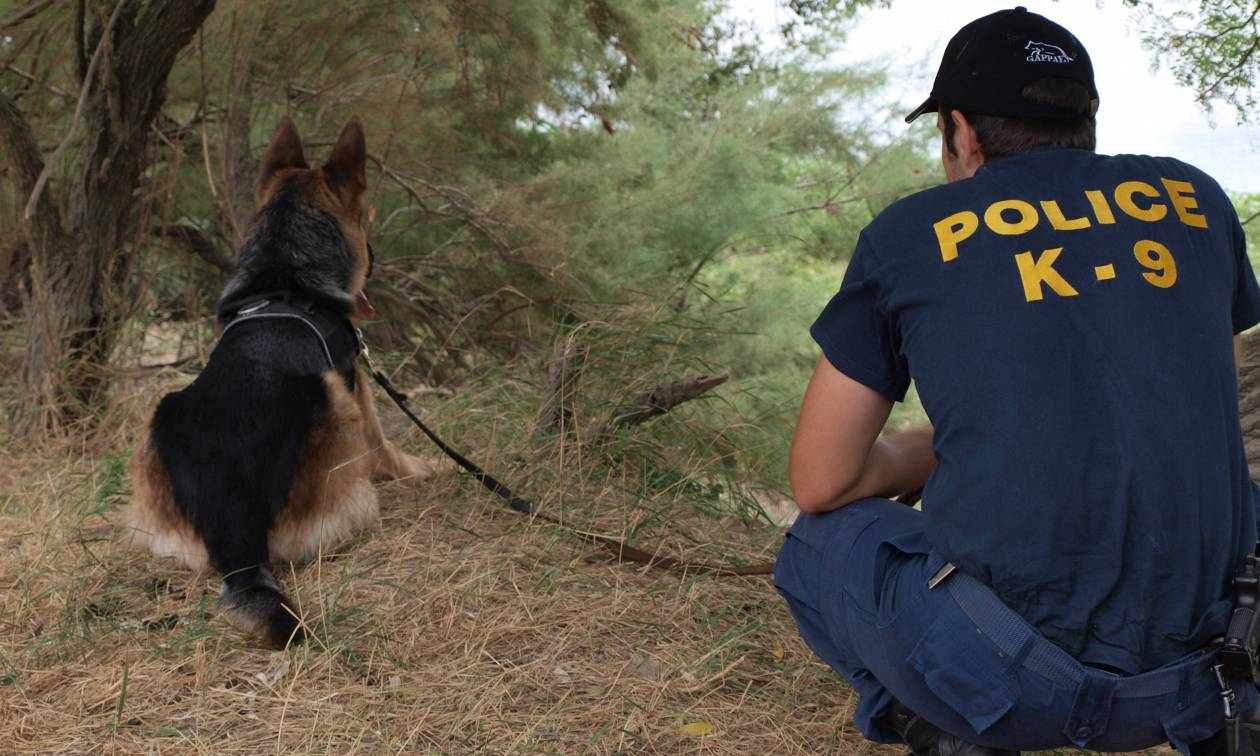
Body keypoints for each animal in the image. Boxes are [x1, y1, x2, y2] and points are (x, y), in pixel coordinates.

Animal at [126, 116, 433, 642]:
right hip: (339, 412)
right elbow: (404, 457)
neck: (283, 277)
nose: (375, 256)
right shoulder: (364, 406)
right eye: (363, 220)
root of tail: (227, 504)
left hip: (159, 421)